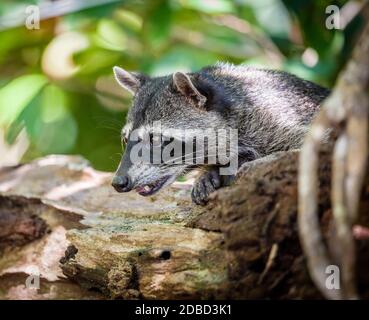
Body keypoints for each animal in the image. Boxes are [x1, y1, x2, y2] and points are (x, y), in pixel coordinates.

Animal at [110, 62, 328, 205]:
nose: (118, 182)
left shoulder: (277, 119)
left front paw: (235, 160)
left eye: (155, 139)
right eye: (126, 139)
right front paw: (208, 170)